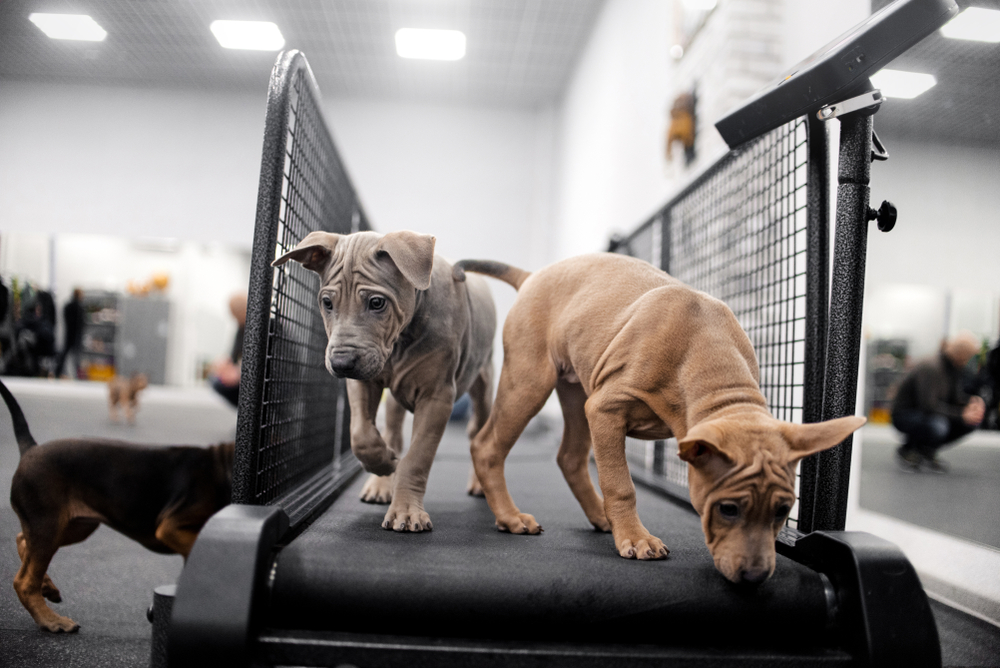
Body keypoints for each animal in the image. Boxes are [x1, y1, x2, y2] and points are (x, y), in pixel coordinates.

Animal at [2, 380, 232, 632]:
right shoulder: (171, 527)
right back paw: (51, 620)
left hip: (73, 527)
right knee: (24, 581)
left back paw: (47, 587)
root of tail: (30, 448)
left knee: (23, 541)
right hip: (48, 527)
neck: (224, 467)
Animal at [272, 230, 494, 532]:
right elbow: (361, 434)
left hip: (483, 383)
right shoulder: (362, 381)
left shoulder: (437, 397)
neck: (401, 340)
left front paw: (407, 511)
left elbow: (417, 458)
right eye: (327, 303)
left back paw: (479, 484)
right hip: (396, 398)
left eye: (377, 303)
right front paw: (383, 463)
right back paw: (381, 482)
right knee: (393, 431)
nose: (341, 363)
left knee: (478, 429)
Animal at [458, 253, 864, 580]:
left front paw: (624, 529)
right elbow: (621, 484)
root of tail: (533, 276)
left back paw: (601, 517)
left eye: (783, 511)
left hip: (576, 391)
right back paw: (511, 517)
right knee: (486, 446)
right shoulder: (605, 409)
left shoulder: (599, 408)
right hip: (529, 383)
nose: (755, 576)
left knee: (569, 457)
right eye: (729, 509)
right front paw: (635, 538)